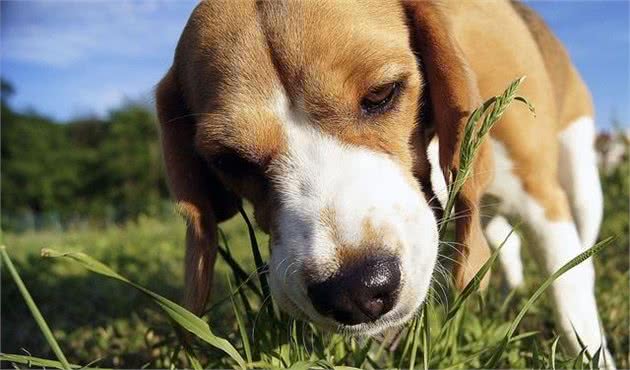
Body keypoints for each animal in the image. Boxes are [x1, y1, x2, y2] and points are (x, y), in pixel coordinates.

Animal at [157, 0, 612, 364]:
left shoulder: (541, 199)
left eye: (381, 94)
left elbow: (570, 294)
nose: (354, 291)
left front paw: (592, 352)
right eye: (229, 159)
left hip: (581, 180)